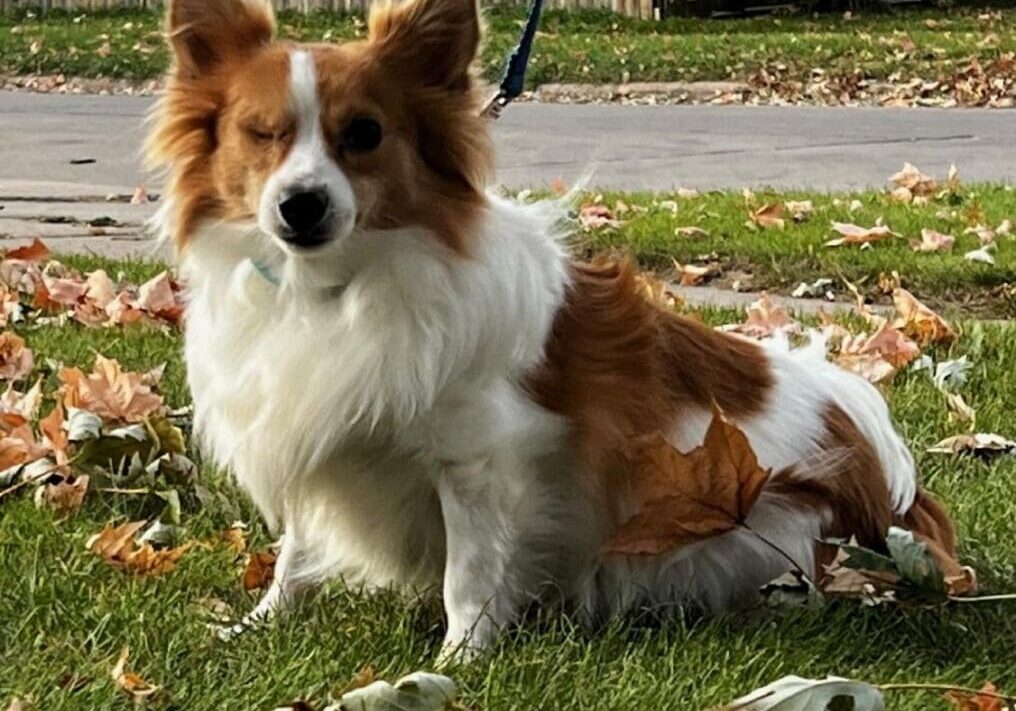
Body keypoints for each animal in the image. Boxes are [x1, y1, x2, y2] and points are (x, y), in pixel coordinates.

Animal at [148, 0, 950, 658]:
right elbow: (295, 555)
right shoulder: (321, 420)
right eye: (262, 134)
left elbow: (469, 575)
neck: (335, 287)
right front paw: (258, 625)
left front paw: (460, 661)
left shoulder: (476, 460)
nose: (301, 204)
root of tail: (873, 456)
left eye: (364, 134)